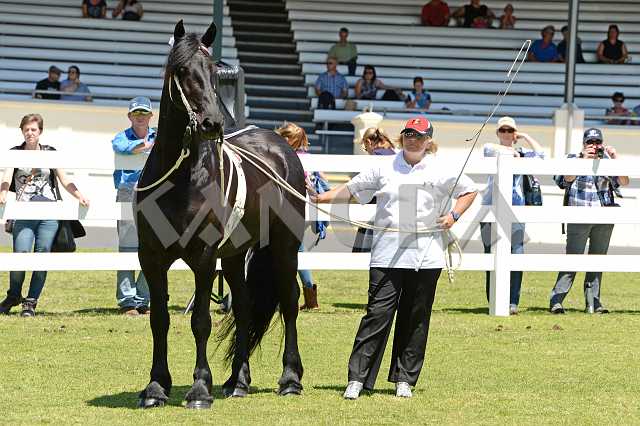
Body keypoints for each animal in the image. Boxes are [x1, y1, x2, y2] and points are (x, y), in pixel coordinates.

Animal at [135, 20, 306, 409]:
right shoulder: (151, 258)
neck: (182, 174)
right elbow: (159, 321)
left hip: (285, 247)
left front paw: (200, 388)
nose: (212, 123)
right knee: (243, 306)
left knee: (289, 302)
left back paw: (290, 379)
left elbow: (200, 321)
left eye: (214, 72)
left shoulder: (202, 258)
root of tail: (281, 147)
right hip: (234, 255)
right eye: (182, 70)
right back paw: (237, 381)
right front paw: (156, 387)